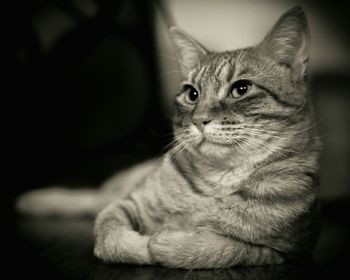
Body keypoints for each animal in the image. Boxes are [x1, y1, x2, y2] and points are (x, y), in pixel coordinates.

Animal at [17, 7, 322, 270]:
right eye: (192, 94)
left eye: (241, 89)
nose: (199, 120)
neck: (217, 180)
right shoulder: (128, 203)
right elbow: (109, 235)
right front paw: (143, 245)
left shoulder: (282, 251)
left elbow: (218, 249)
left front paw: (168, 241)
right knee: (90, 199)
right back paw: (33, 200)